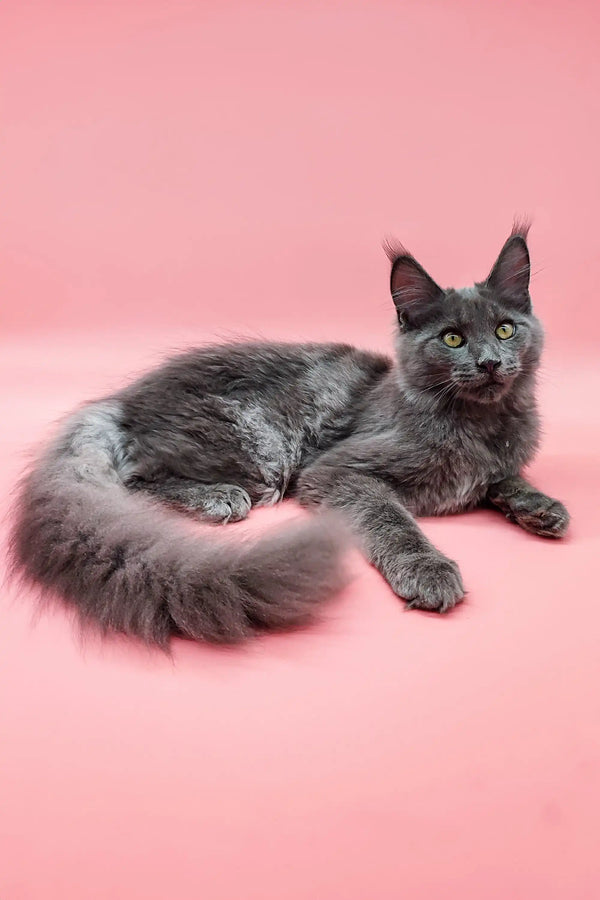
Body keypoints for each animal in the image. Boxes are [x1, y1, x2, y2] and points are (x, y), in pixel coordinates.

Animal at [10, 225, 572, 648]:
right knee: (139, 478)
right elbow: (393, 521)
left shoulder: (497, 461)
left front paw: (540, 506)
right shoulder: (338, 471)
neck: (479, 424)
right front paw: (428, 570)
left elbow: (504, 478)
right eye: (452, 338)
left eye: (505, 329)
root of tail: (122, 402)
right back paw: (218, 497)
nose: (490, 362)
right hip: (259, 449)